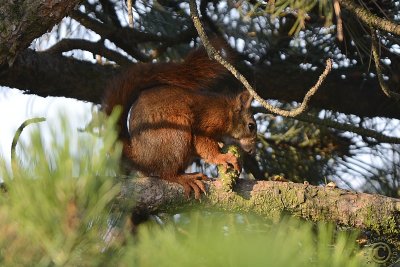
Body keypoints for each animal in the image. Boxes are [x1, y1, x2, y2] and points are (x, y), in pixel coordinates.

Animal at [102, 45, 256, 199]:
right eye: (251, 126)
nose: (251, 150)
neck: (227, 112)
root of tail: (138, 155)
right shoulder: (207, 122)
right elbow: (204, 144)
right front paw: (222, 157)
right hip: (175, 133)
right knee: (166, 173)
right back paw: (185, 179)